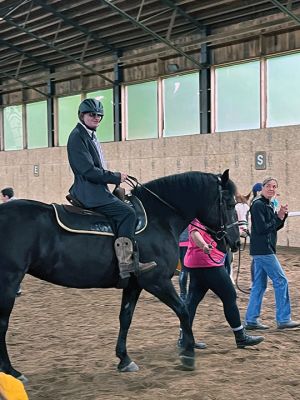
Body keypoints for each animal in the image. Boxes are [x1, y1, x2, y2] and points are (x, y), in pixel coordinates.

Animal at [0, 169, 239, 382]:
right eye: (229, 204)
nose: (235, 241)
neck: (159, 218)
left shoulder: (134, 284)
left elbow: (125, 318)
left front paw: (124, 359)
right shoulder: (157, 281)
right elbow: (183, 310)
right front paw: (188, 355)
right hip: (9, 281)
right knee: (2, 323)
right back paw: (12, 372)